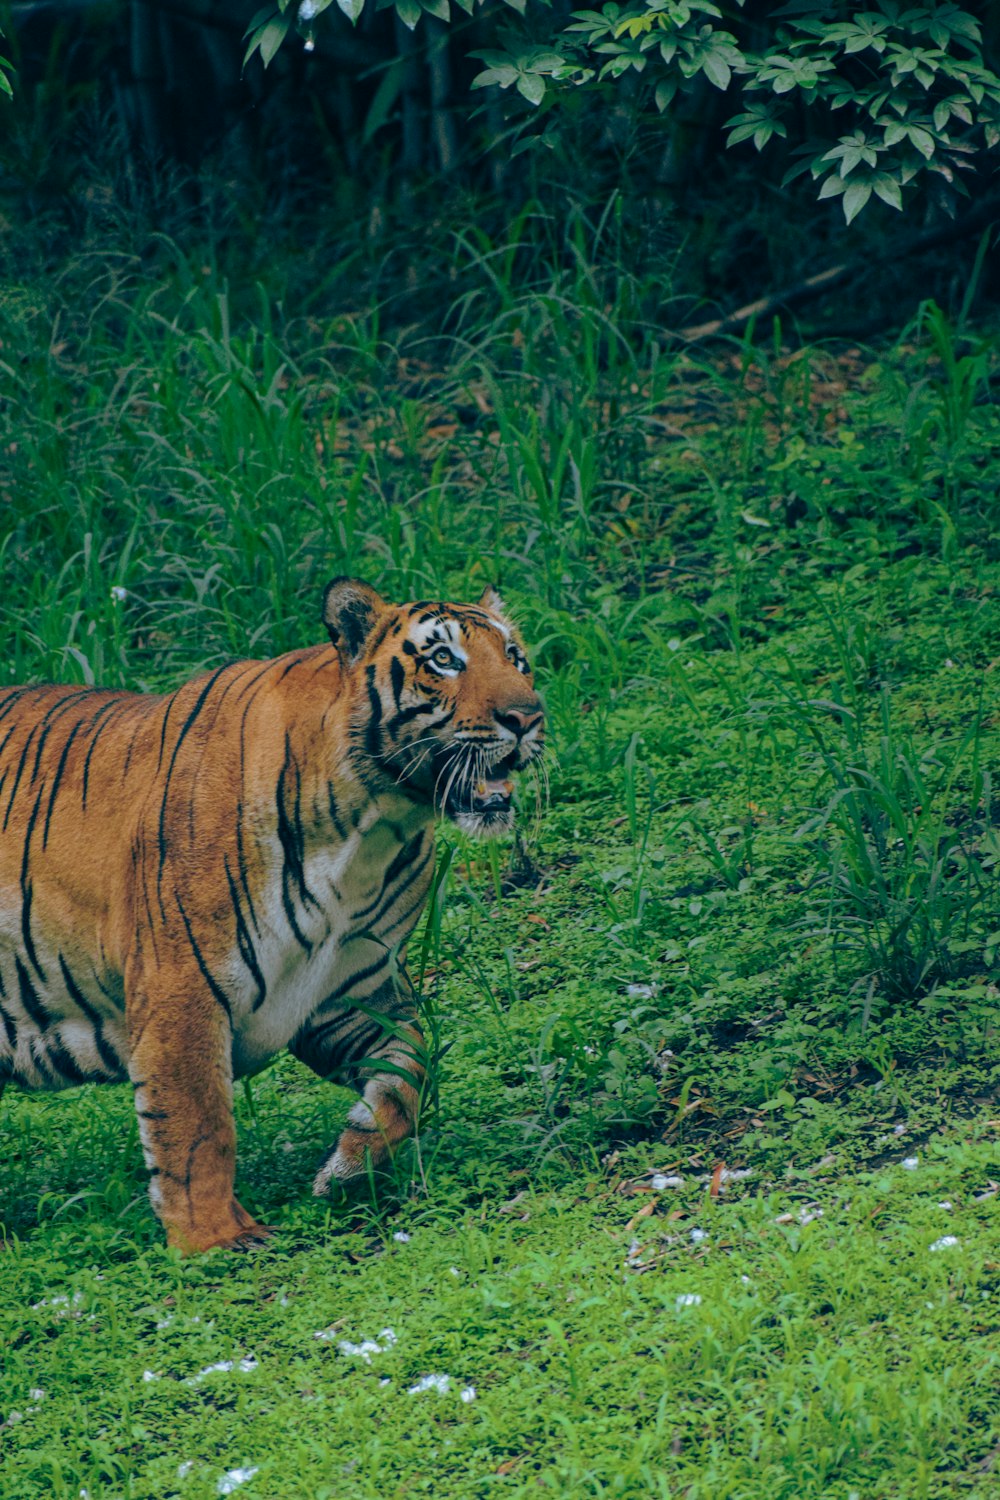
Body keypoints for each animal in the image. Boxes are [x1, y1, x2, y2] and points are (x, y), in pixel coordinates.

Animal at [0, 576, 542, 1254]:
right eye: (444, 659)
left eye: (516, 658)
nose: (528, 717)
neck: (373, 826)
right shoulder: (182, 993)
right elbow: (197, 1126)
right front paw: (215, 1240)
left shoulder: (349, 995)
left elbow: (411, 1072)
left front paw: (349, 1167)